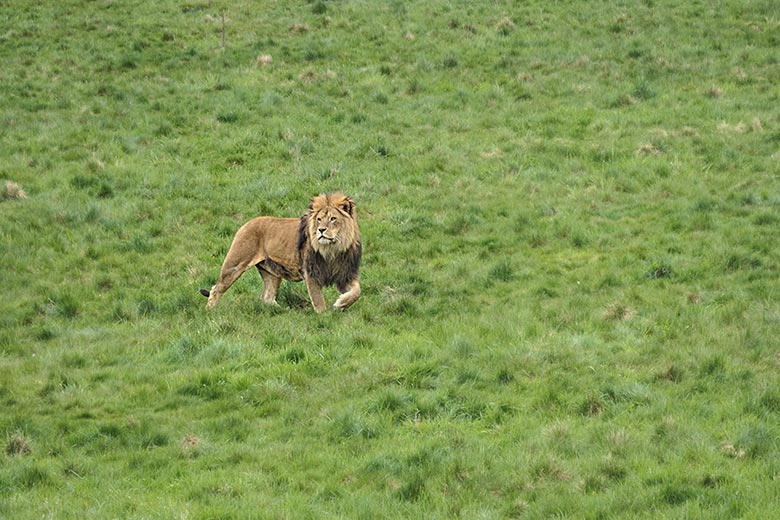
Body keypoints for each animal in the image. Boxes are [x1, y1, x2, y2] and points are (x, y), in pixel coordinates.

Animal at [200, 192, 362, 310]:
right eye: (319, 219)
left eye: (333, 219)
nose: (321, 230)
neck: (333, 249)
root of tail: (246, 223)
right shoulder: (311, 273)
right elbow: (319, 301)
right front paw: (325, 315)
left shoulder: (346, 274)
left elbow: (357, 292)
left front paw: (341, 303)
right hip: (235, 264)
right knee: (216, 289)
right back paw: (210, 310)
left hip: (272, 272)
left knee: (267, 297)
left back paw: (282, 310)